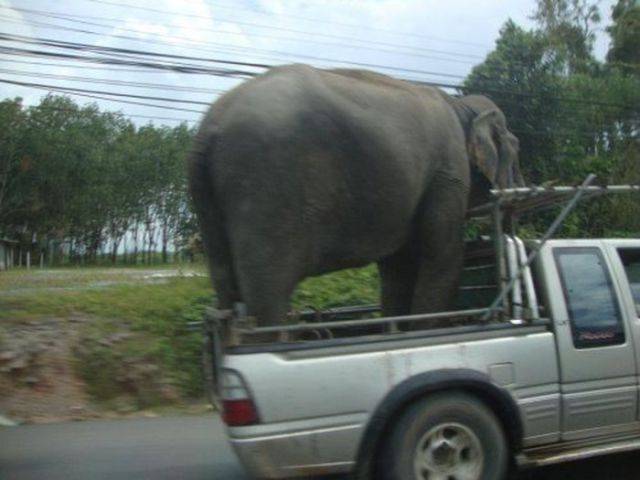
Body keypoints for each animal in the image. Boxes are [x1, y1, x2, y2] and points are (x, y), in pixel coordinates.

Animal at [186, 63, 524, 326]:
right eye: (516, 150)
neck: (461, 105)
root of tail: (210, 128)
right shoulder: (448, 173)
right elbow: (443, 257)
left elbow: (397, 270)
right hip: (266, 185)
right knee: (267, 292)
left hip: (209, 198)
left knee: (226, 283)